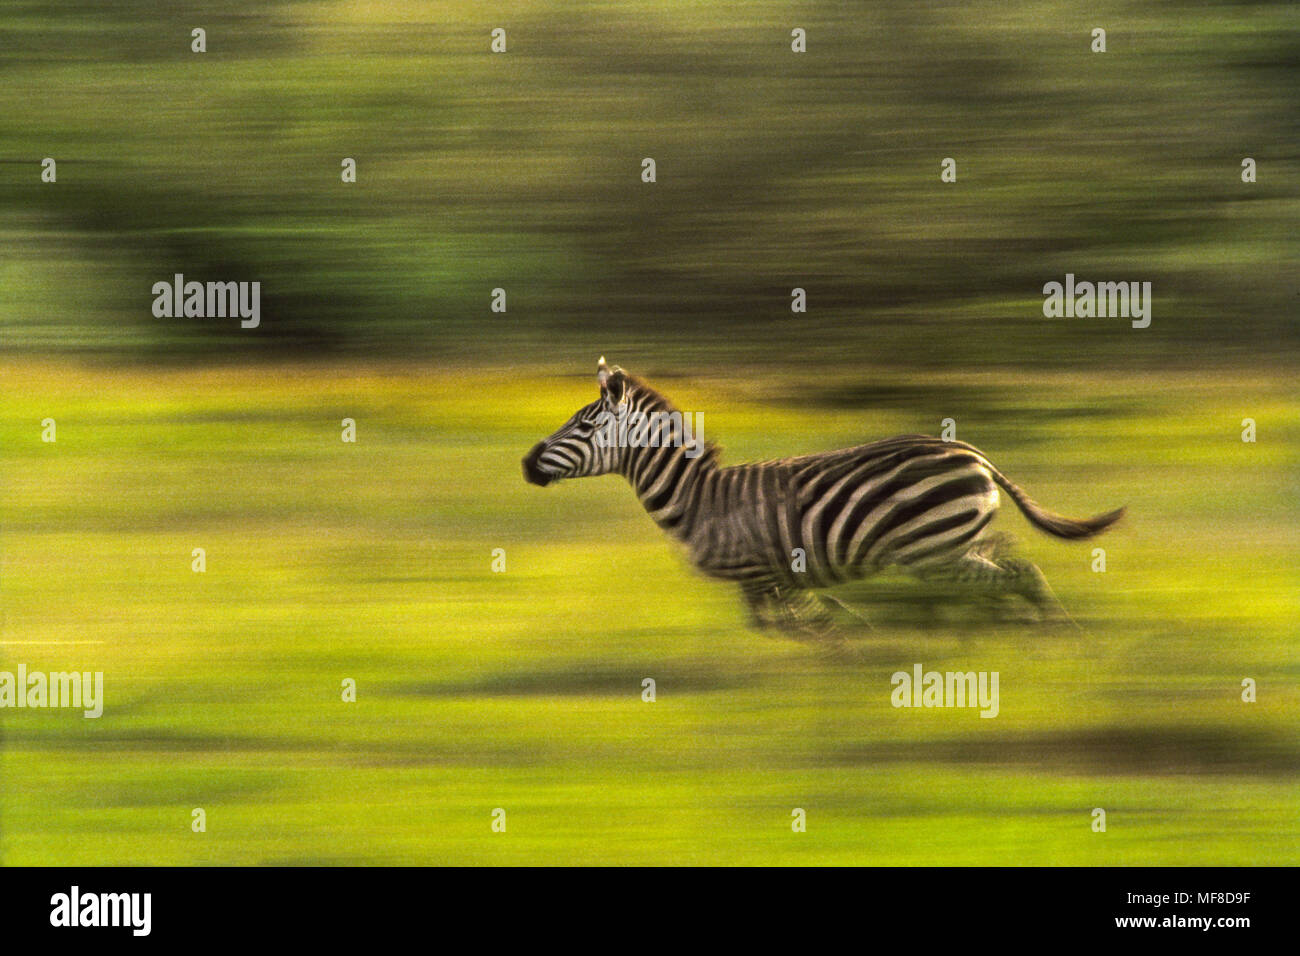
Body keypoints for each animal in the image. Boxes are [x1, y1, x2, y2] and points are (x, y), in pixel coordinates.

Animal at [522, 358, 1123, 634]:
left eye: (582, 425)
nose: (526, 464)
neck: (698, 497)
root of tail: (974, 454)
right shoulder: (766, 581)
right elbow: (798, 623)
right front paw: (854, 643)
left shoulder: (761, 572)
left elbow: (804, 626)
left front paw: (843, 657)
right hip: (958, 540)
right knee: (1013, 565)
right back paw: (1024, 631)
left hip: (933, 550)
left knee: (1020, 575)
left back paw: (1055, 636)